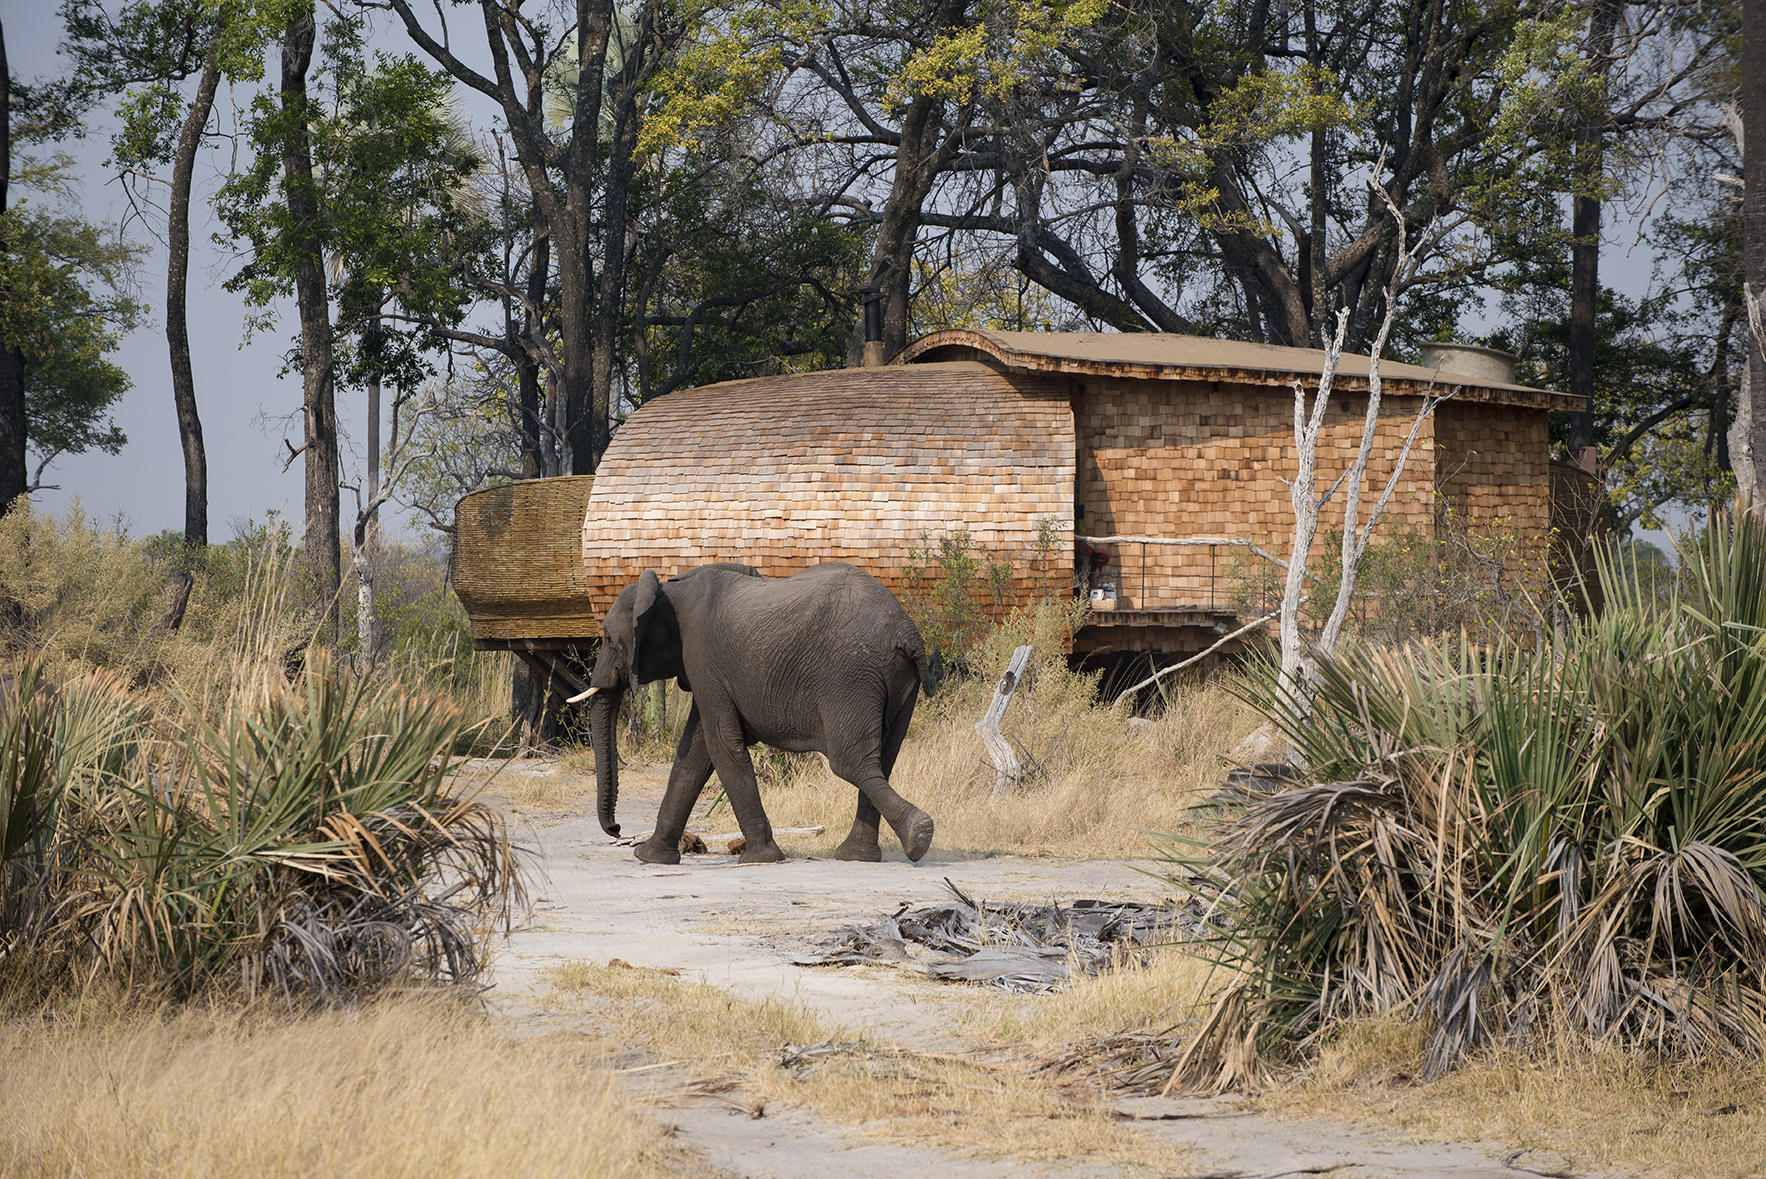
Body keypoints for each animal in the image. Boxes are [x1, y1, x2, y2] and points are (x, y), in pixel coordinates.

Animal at [575, 561, 939, 864]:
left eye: (609, 638)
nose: (617, 829)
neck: (668, 588)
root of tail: (906, 632)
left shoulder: (704, 660)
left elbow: (721, 744)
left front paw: (760, 859)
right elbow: (694, 753)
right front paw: (650, 858)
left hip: (850, 676)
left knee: (851, 762)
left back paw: (918, 836)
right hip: (898, 680)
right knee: (884, 759)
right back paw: (861, 855)